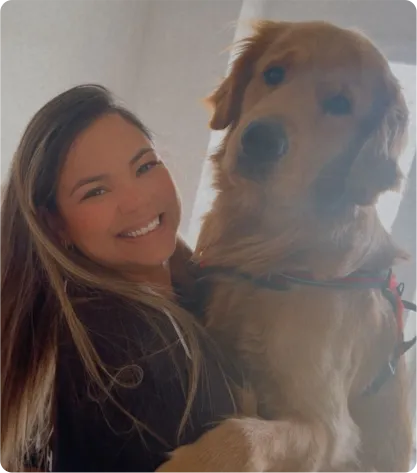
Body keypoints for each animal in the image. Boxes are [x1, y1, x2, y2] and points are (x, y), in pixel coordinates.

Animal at [156, 20, 413, 473]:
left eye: (341, 103)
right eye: (273, 73)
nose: (261, 140)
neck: (271, 249)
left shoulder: (331, 431)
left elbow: (244, 434)